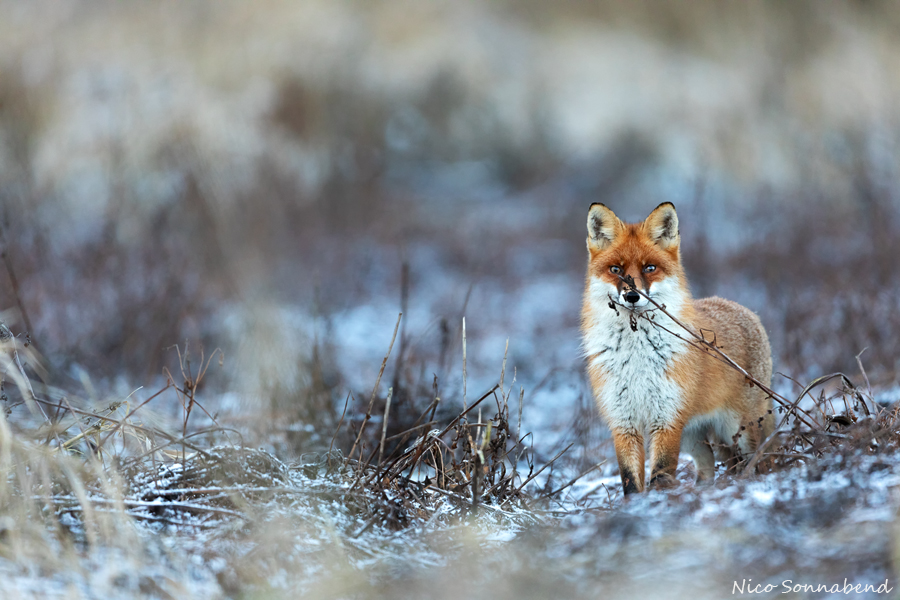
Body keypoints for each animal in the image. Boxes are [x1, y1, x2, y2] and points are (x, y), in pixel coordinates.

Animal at [584, 204, 772, 494]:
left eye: (650, 267)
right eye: (615, 269)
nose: (632, 296)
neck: (637, 356)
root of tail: (746, 310)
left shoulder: (667, 419)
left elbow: (661, 474)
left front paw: (657, 502)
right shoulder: (624, 421)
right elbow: (630, 480)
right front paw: (635, 504)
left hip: (739, 430)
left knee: (756, 461)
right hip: (693, 437)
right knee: (708, 466)